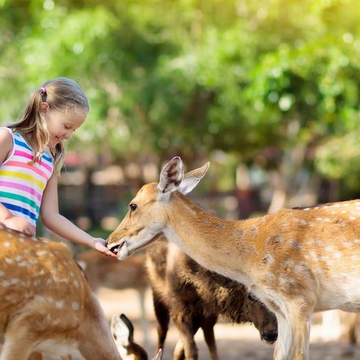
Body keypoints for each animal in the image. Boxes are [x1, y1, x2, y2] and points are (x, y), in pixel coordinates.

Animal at [146, 239, 278, 360]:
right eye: (251, 296)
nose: (270, 334)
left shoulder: (207, 311)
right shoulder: (179, 307)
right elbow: (191, 351)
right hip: (157, 296)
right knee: (161, 331)